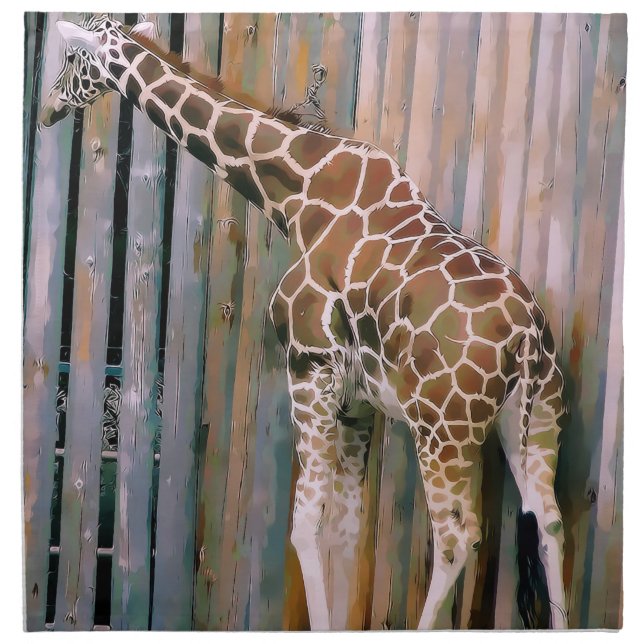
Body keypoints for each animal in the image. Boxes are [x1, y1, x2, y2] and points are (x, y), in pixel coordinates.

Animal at [40, 15, 568, 631]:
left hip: (444, 429)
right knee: (549, 523)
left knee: (458, 539)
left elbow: (305, 528)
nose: (48, 108)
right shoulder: (358, 400)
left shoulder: (308, 367)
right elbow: (342, 531)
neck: (295, 196)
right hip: (534, 417)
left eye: (72, 58)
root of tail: (528, 338)